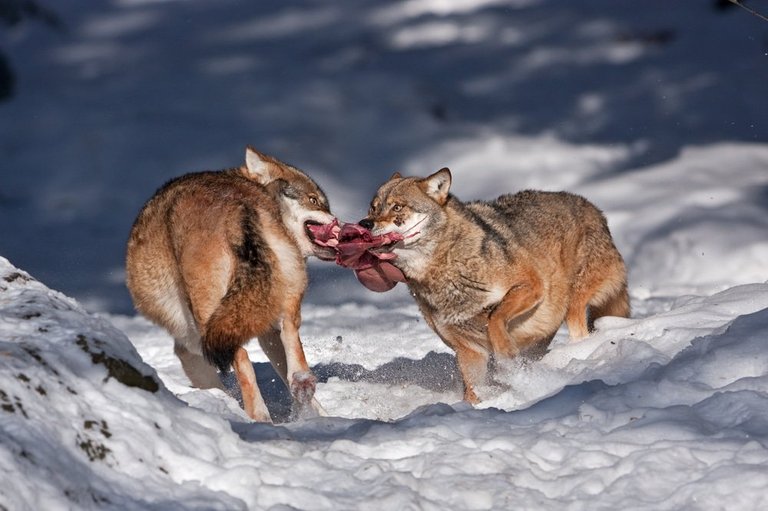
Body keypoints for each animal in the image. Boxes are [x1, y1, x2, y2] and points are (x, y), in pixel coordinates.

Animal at [126, 146, 336, 422]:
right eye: (314, 200)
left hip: (210, 318)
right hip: (289, 289)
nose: (339, 222)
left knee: (242, 357)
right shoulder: (266, 330)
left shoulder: (188, 348)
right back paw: (302, 386)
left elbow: (212, 382)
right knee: (292, 335)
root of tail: (238, 204)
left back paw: (258, 417)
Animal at [360, 168, 632, 404]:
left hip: (573, 304)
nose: (365, 224)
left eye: (397, 207)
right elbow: (472, 390)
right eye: (373, 207)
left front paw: (506, 355)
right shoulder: (469, 351)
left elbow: (495, 317)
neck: (446, 270)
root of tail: (593, 208)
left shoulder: (531, 285)